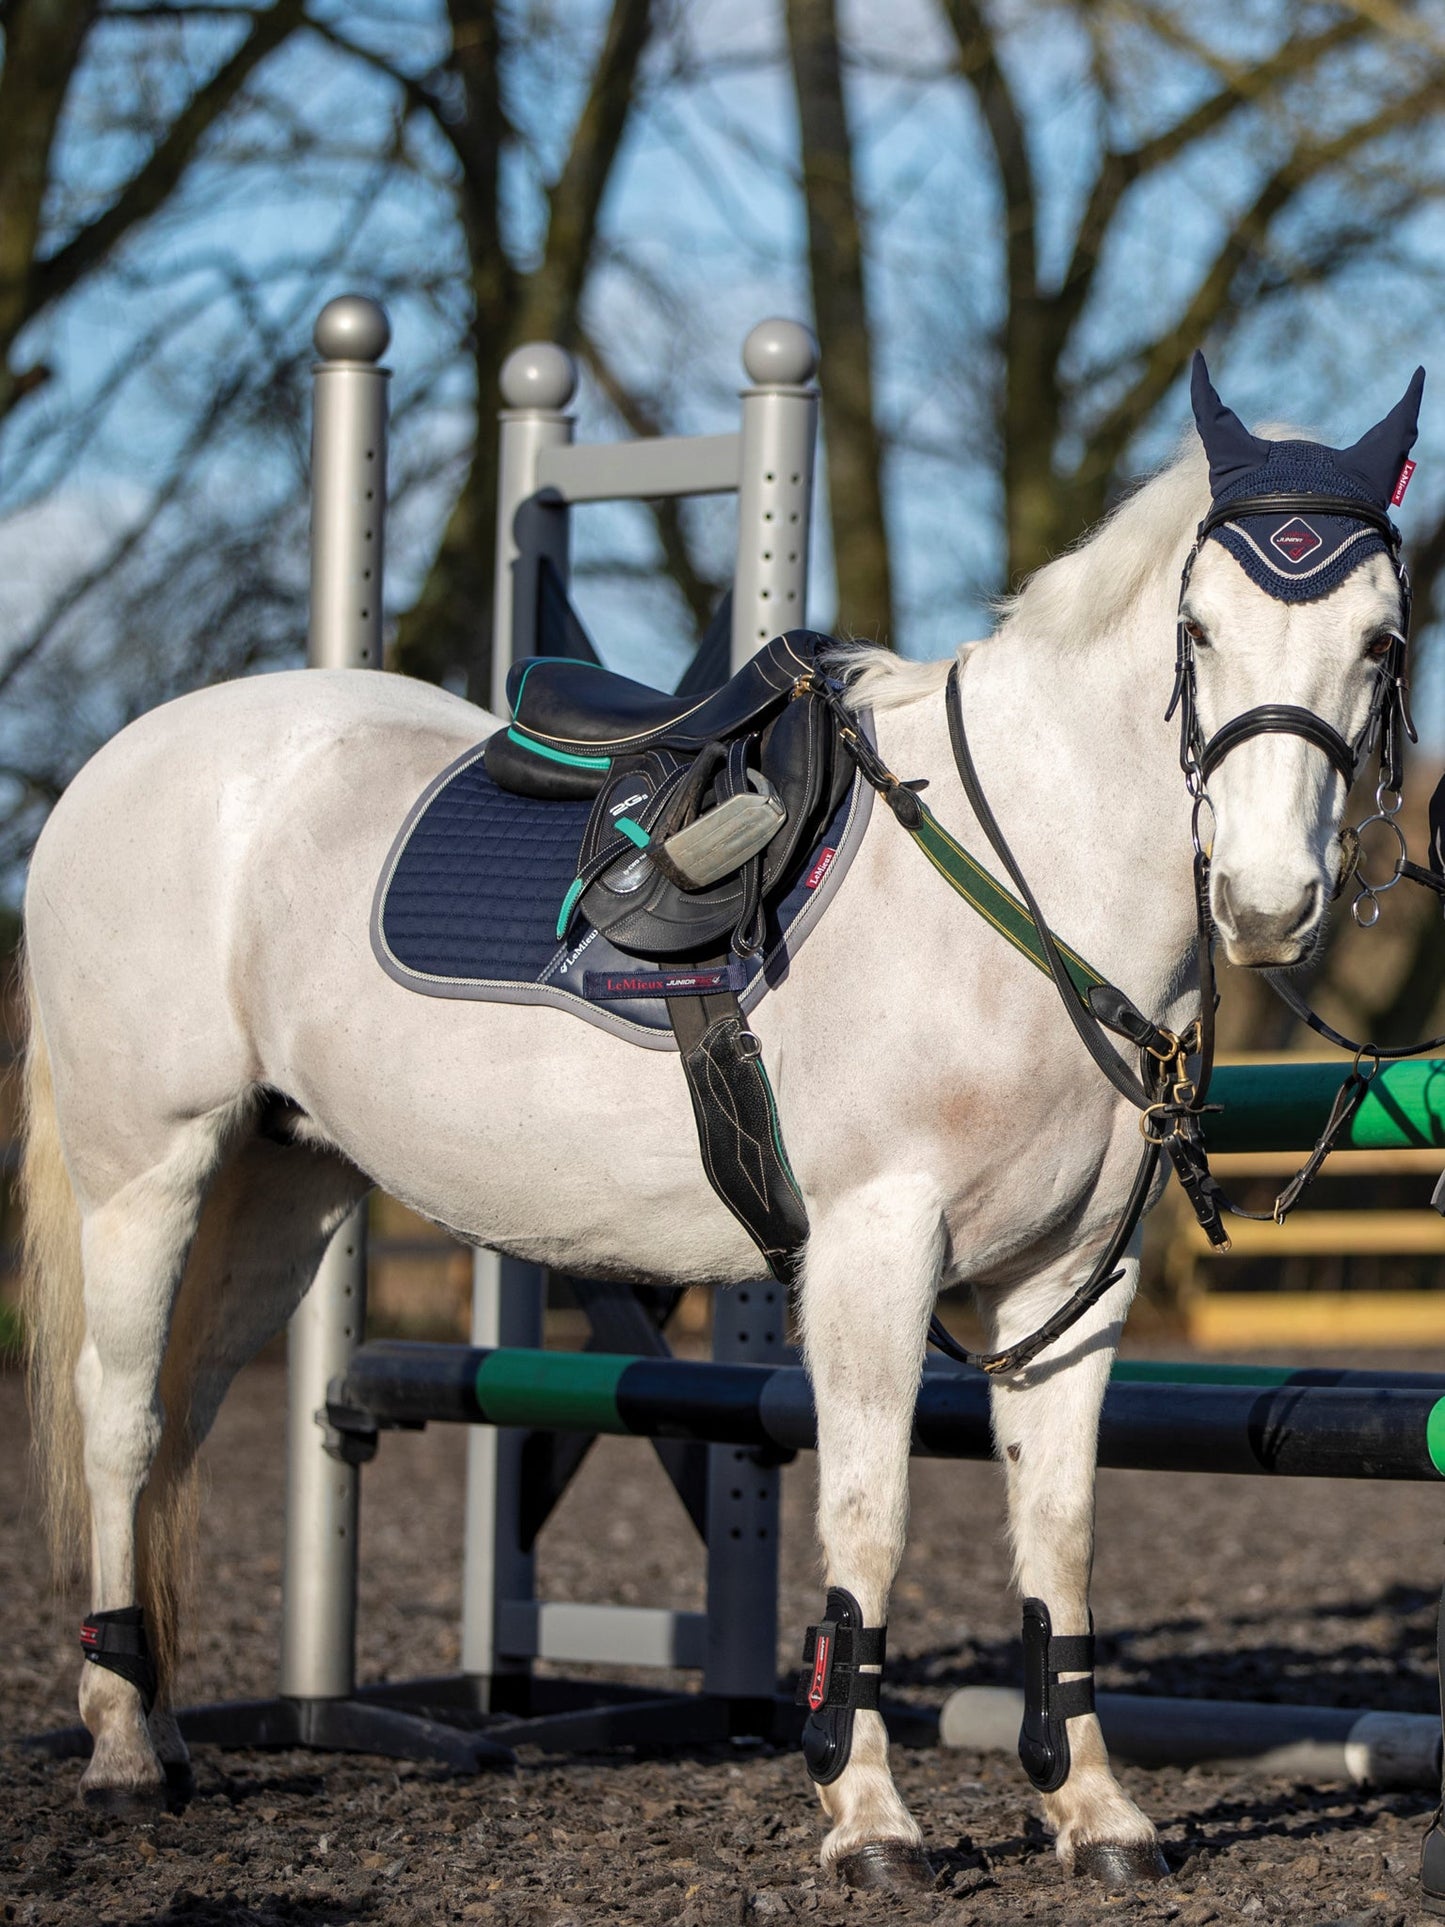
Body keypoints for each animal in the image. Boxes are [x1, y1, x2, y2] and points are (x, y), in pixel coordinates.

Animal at [18, 365, 1416, 1890]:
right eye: (1198, 629)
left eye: (1379, 639)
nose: (1269, 901)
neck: (1030, 872)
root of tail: (123, 760)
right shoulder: (874, 1247)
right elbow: (869, 1515)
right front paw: (866, 1815)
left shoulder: (1067, 1281)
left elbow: (1060, 1537)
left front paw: (1093, 1809)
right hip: (146, 1168)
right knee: (120, 1417)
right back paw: (122, 1749)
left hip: (285, 1183)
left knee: (184, 1417)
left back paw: (167, 1722)